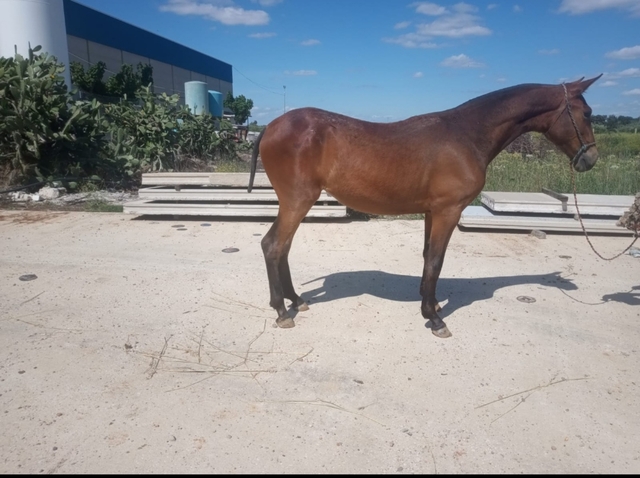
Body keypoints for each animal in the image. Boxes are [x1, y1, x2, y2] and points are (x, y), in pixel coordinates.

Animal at [248, 75, 604, 336]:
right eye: (586, 113)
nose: (590, 158)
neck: (466, 135)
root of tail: (271, 126)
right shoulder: (449, 211)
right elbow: (436, 261)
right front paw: (434, 319)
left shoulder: (433, 212)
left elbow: (427, 257)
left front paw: (429, 305)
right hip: (298, 201)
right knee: (273, 245)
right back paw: (282, 311)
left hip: (295, 203)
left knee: (282, 248)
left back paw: (295, 300)